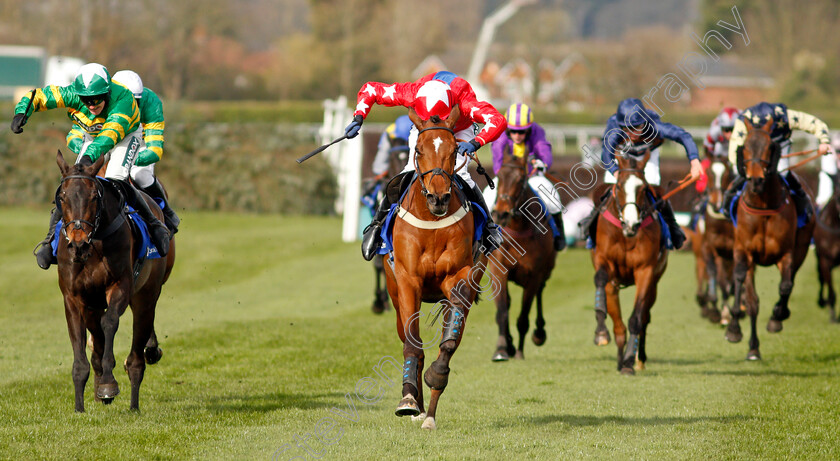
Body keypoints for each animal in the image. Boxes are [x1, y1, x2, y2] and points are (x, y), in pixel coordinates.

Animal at [54, 151, 176, 410]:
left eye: (94, 197)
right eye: (62, 197)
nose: (78, 244)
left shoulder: (120, 286)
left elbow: (109, 323)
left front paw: (108, 384)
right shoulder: (74, 297)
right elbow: (83, 344)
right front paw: (80, 405)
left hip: (146, 295)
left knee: (136, 355)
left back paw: (134, 401)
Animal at [382, 106, 486, 430]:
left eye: (454, 151)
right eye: (418, 149)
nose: (438, 198)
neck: (432, 221)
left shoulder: (459, 278)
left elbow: (448, 344)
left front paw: (436, 379)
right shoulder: (407, 280)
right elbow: (412, 344)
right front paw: (408, 400)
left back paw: (429, 414)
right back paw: (415, 403)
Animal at [488, 149, 556, 362]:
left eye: (520, 179)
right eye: (499, 176)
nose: (501, 213)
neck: (518, 230)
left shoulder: (534, 275)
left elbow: (523, 318)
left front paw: (518, 350)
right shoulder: (499, 272)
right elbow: (502, 312)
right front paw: (502, 348)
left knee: (540, 293)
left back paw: (539, 333)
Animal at [592, 151, 668, 374]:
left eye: (643, 188)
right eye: (618, 186)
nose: (631, 224)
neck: (626, 236)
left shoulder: (645, 271)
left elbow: (637, 318)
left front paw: (628, 361)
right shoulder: (604, 260)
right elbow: (601, 280)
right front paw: (601, 332)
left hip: (655, 283)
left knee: (645, 318)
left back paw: (638, 358)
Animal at [728, 118, 812, 360]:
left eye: (769, 147)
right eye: (745, 147)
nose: (756, 180)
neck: (763, 206)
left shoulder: (787, 253)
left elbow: (785, 286)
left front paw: (777, 316)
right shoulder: (744, 251)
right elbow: (747, 295)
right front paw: (735, 330)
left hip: (802, 249)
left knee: (791, 281)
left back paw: (779, 314)